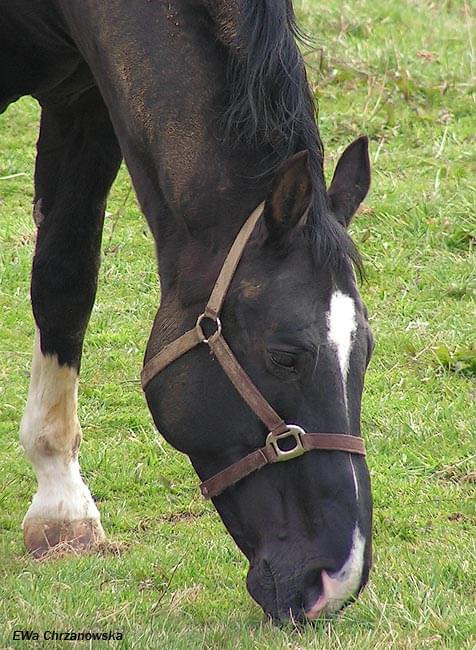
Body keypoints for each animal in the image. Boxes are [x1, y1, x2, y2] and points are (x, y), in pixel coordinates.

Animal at [2, 0, 376, 620]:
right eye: (284, 356)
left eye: (365, 351)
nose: (336, 580)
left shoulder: (85, 100)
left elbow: (64, 278)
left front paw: (61, 505)